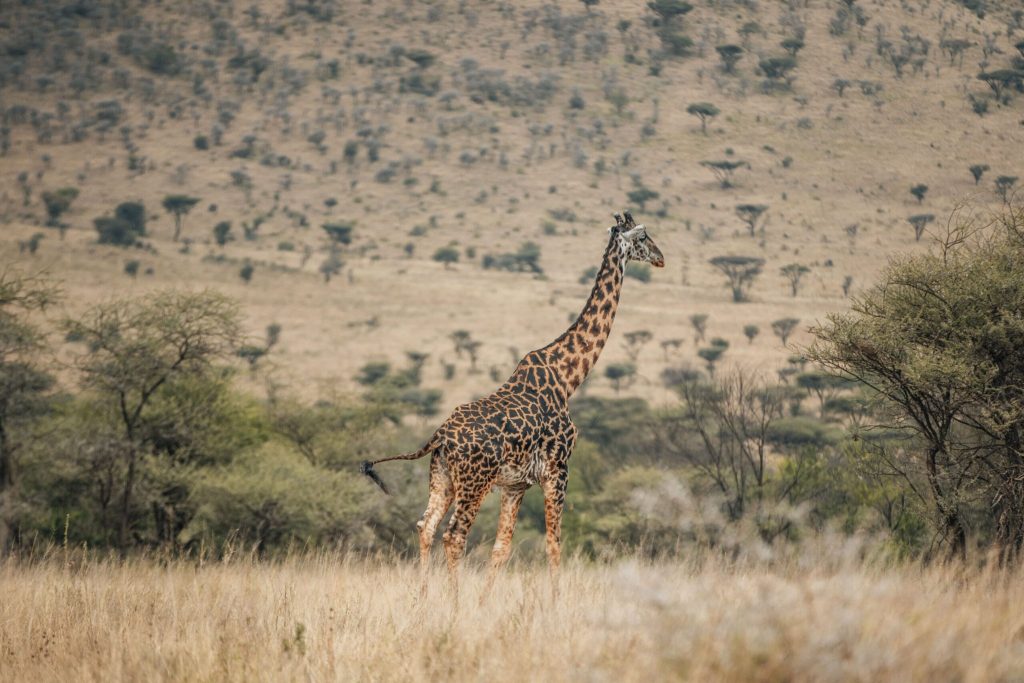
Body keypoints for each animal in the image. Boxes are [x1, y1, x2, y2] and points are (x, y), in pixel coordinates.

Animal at [361, 211, 664, 577]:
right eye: (643, 237)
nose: (661, 257)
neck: (567, 378)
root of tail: (439, 437)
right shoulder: (557, 470)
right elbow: (554, 545)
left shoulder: (516, 484)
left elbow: (501, 549)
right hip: (474, 483)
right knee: (454, 535)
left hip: (442, 477)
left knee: (426, 526)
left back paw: (423, 590)